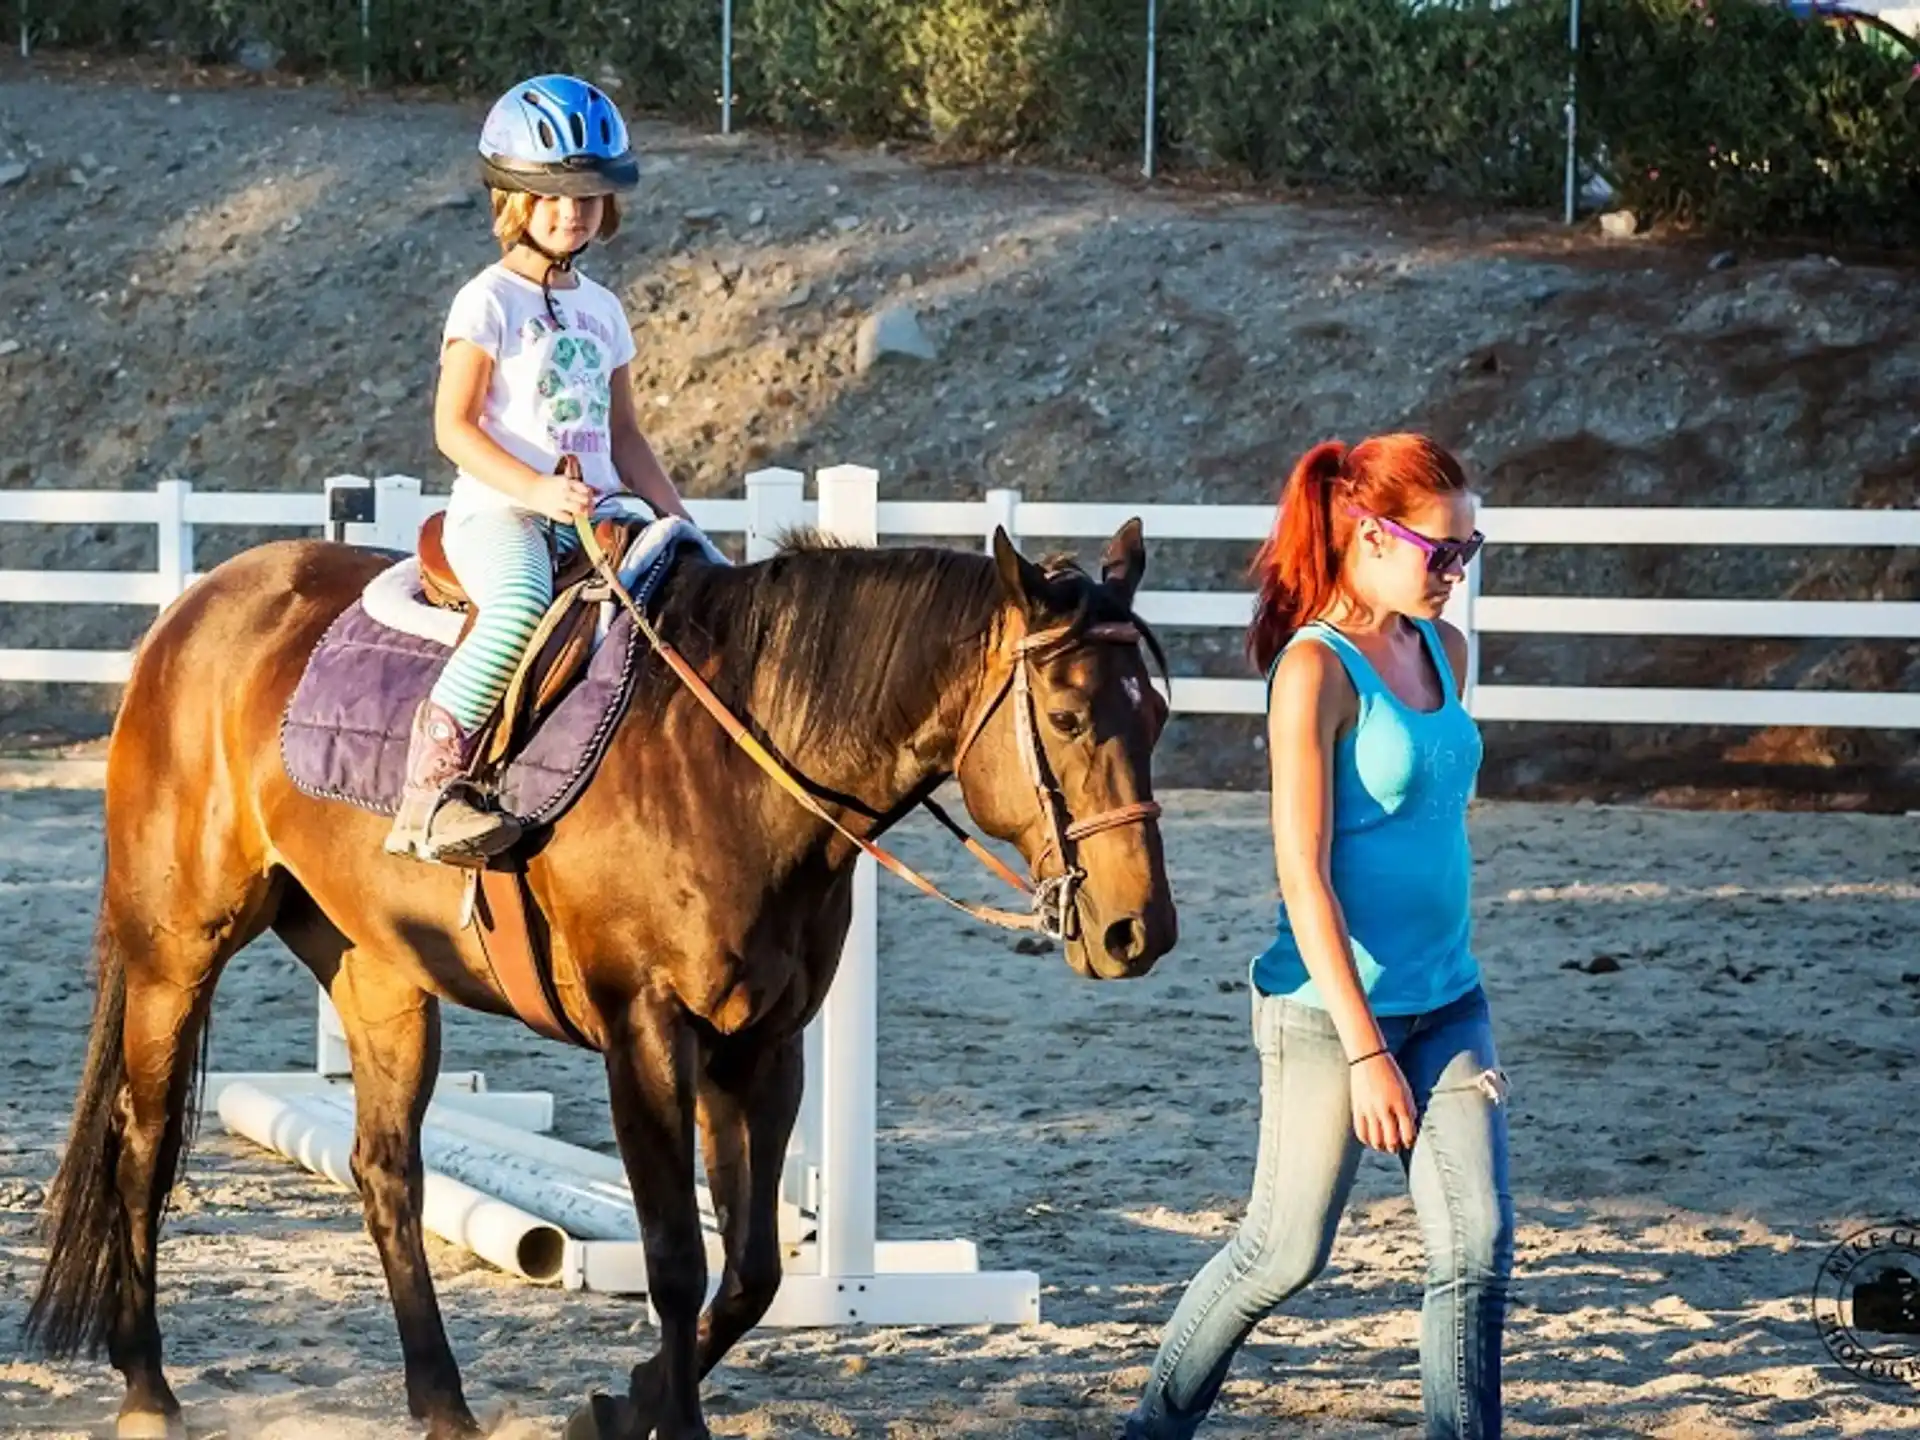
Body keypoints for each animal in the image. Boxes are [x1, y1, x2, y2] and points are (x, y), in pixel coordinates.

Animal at [24, 515, 1179, 1440]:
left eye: (1158, 717)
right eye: (1069, 719)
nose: (1140, 931)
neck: (736, 769)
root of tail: (197, 607)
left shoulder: (764, 1047)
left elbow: (752, 1272)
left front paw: (622, 1404)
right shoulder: (648, 1035)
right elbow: (674, 1258)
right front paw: (665, 1417)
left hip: (378, 976)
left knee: (386, 1173)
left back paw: (442, 1403)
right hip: (177, 952)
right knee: (140, 1145)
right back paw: (149, 1391)